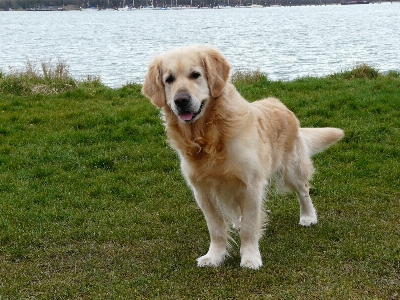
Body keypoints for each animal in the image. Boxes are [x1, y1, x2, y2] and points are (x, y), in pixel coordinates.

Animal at [141, 45, 344, 270]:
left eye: (195, 74)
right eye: (169, 79)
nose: (181, 101)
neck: (209, 136)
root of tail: (279, 103)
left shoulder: (251, 185)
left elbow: (249, 227)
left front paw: (250, 257)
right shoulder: (202, 191)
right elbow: (216, 229)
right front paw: (214, 256)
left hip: (293, 168)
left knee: (304, 191)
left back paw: (308, 216)